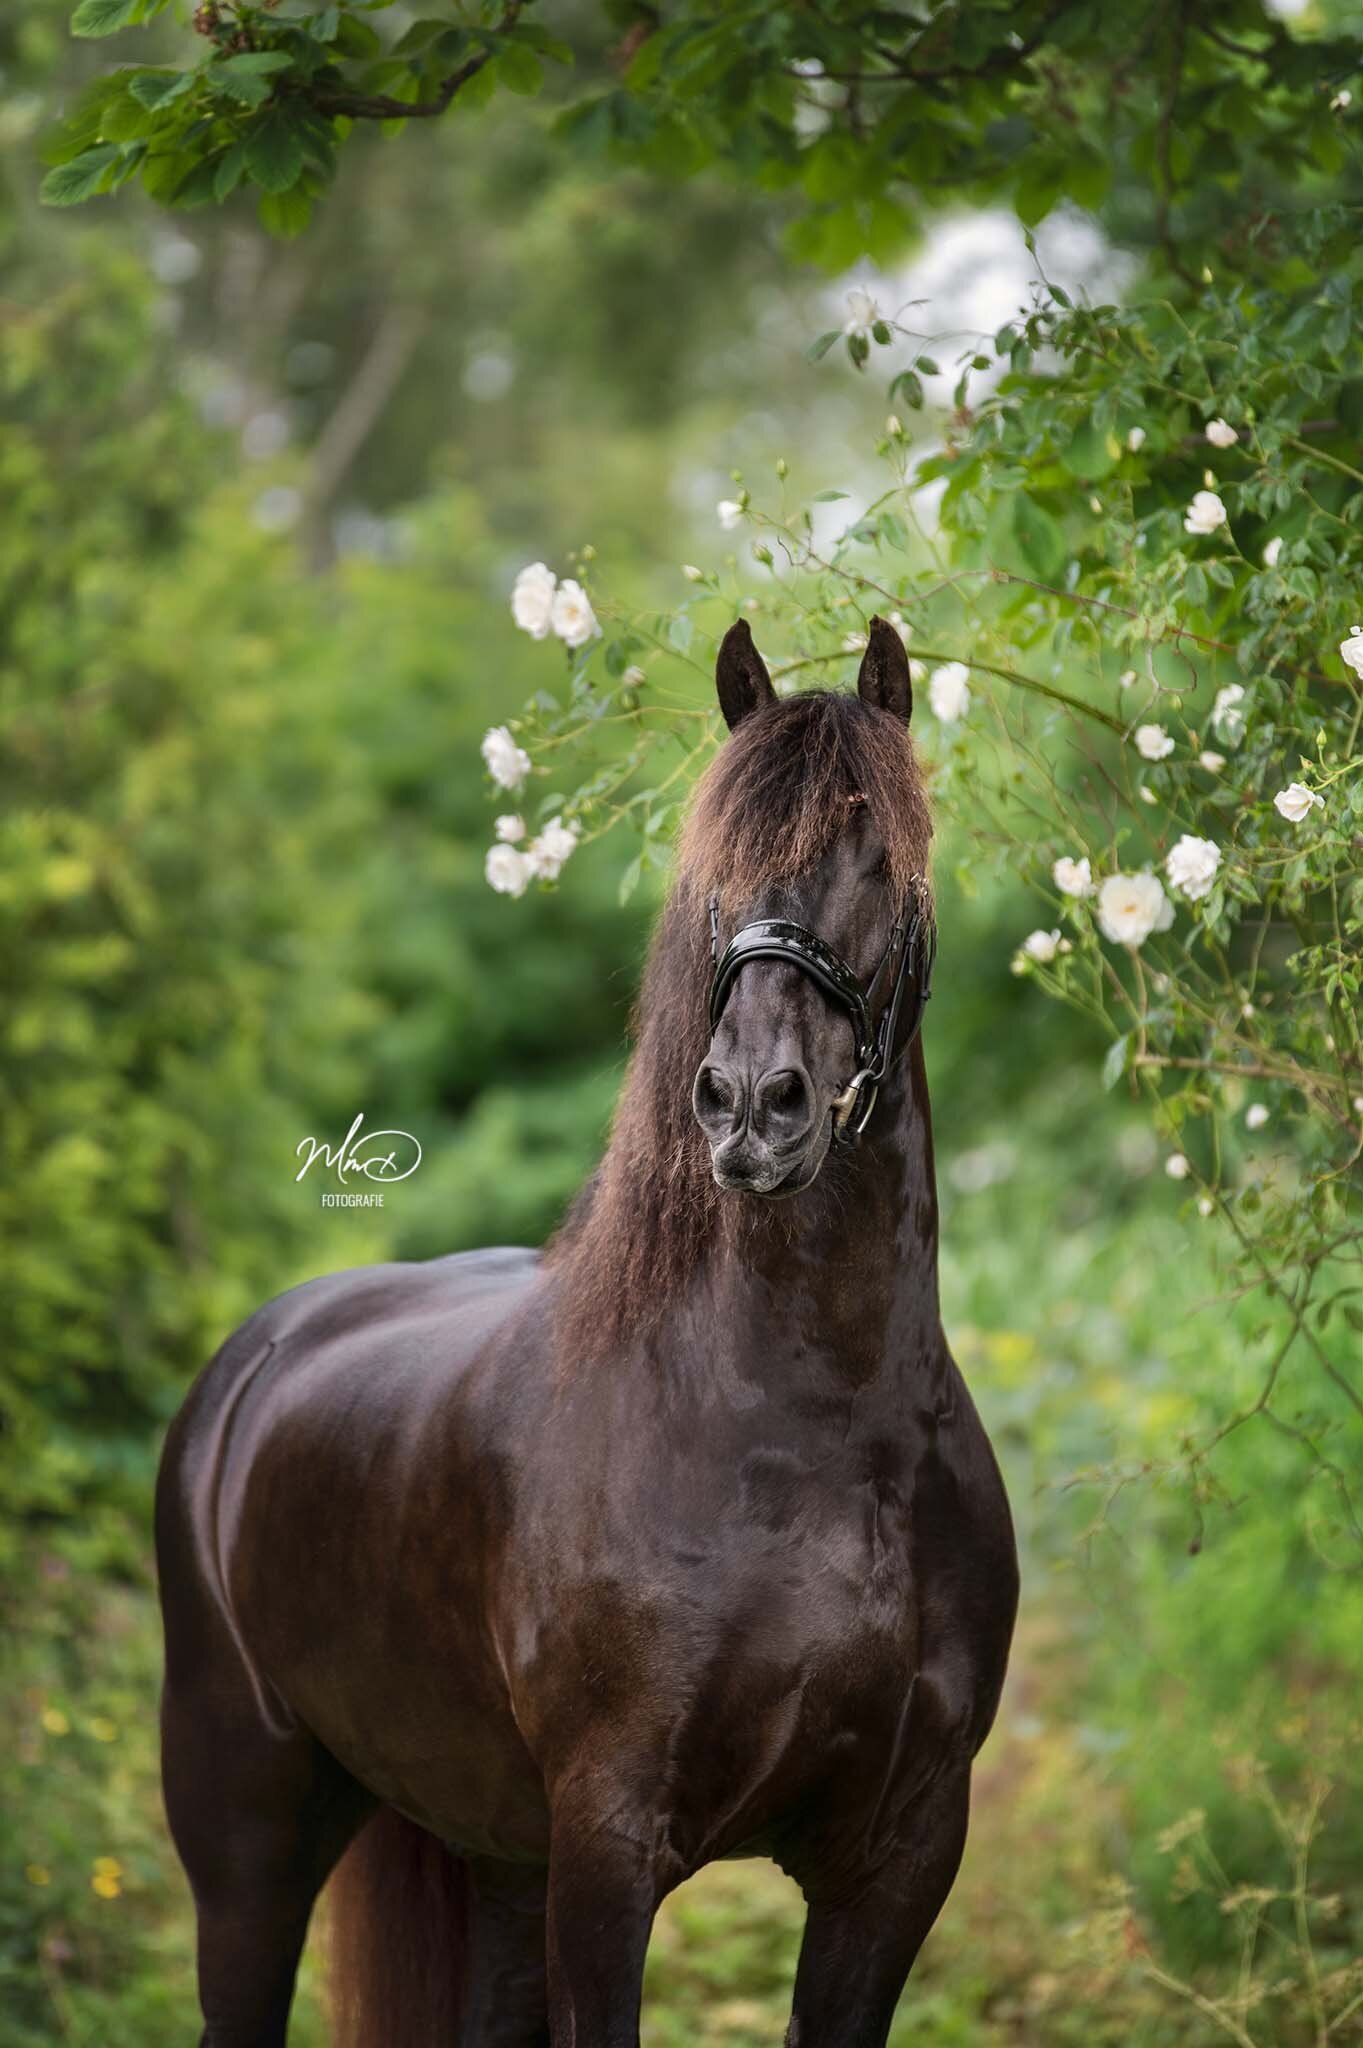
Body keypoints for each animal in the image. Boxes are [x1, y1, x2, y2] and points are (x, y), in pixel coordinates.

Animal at [156, 614, 1006, 2039]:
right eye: (714, 868)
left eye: (881, 855)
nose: (751, 1103)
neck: (808, 1430)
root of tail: (256, 1356)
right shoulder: (610, 1853)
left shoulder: (900, 1860)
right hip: (249, 1838)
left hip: (496, 1856)